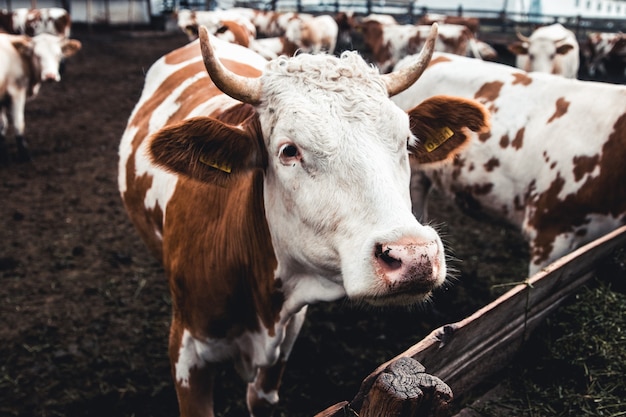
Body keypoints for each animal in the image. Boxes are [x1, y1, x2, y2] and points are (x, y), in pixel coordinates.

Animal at [0, 32, 81, 162]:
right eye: (37, 55)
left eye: (58, 55)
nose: (50, 76)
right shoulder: (17, 91)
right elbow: (19, 124)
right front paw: (24, 155)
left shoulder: (2, 98)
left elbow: (3, 125)